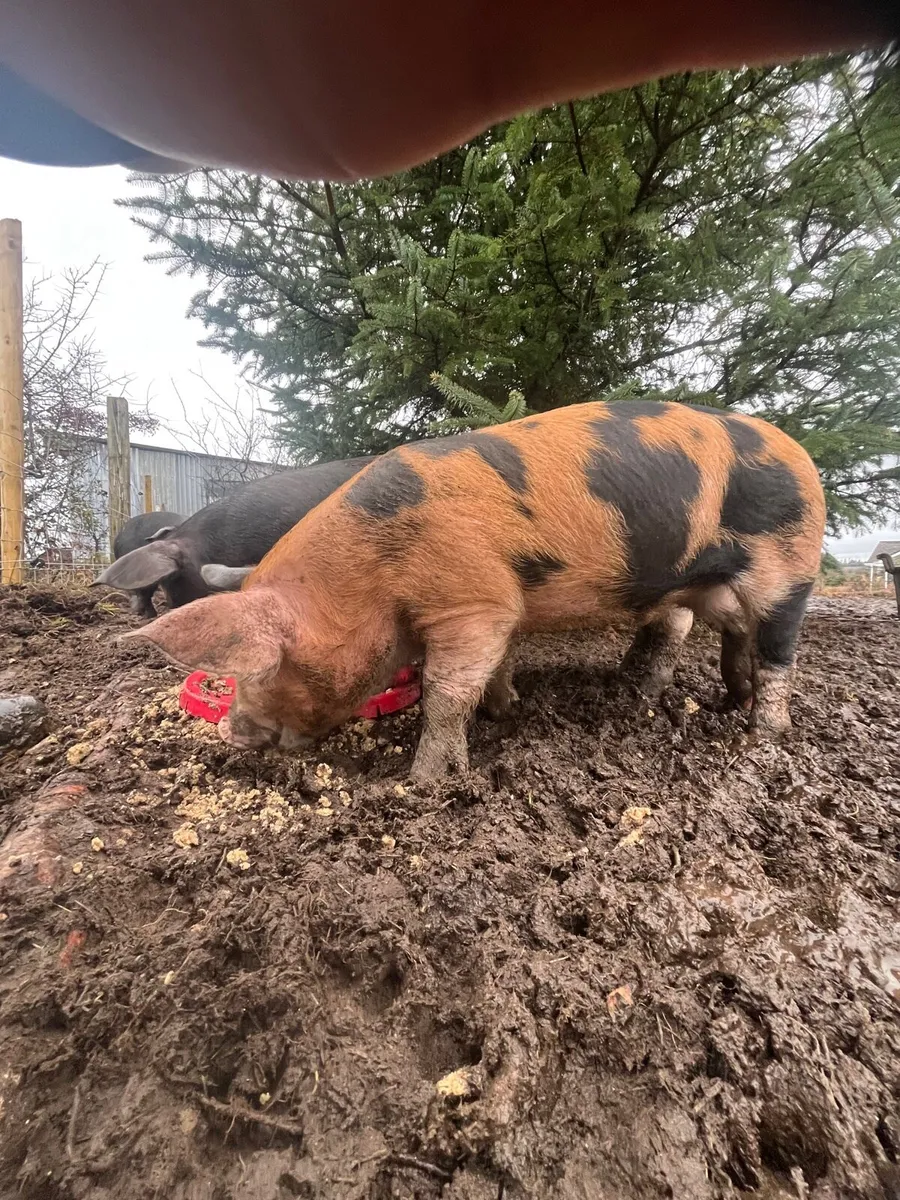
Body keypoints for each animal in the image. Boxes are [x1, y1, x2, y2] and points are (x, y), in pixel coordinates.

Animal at [127, 401, 826, 781]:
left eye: (270, 667)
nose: (233, 733)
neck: (374, 573)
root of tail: (802, 455)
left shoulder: (470, 604)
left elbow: (445, 691)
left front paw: (428, 779)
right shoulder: (500, 607)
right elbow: (496, 667)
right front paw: (505, 710)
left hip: (789, 564)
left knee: (778, 652)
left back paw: (760, 737)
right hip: (709, 585)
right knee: (724, 636)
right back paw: (702, 701)